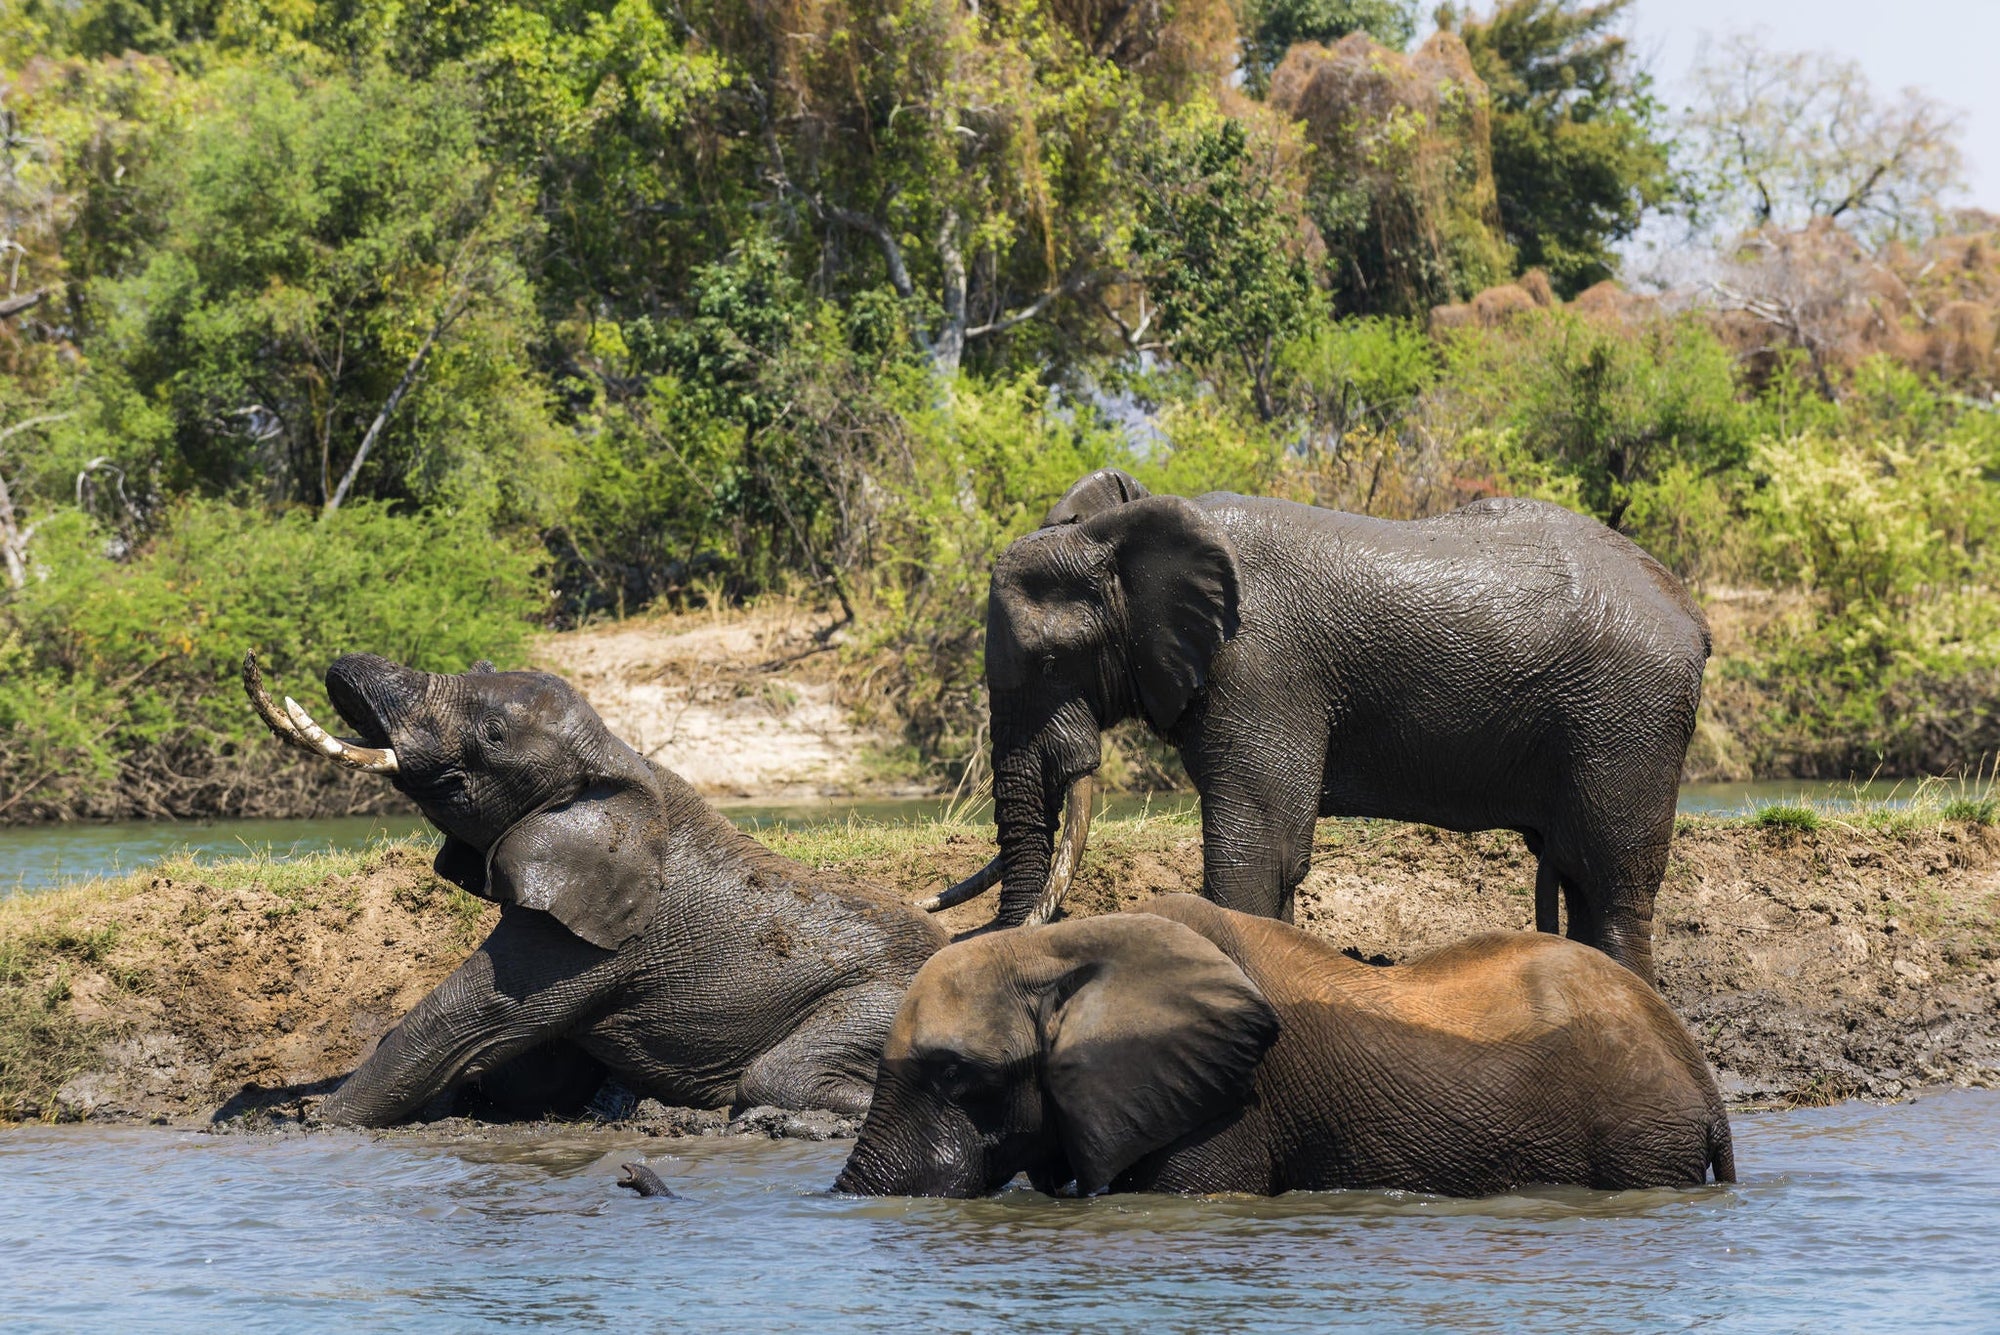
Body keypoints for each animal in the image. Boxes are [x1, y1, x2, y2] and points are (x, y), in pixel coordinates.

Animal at [242, 650, 946, 1127]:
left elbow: (461, 1022)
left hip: (881, 1001)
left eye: (493, 736)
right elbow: (530, 1072)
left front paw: (307, 1121)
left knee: (780, 1078)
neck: (618, 756)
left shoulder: (592, 936)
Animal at [927, 469, 1710, 982]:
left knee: (1610, 887)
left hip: (1627, 717)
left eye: (1048, 661)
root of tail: (1691, 613)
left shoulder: (1259, 669)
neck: (1123, 532)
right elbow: (1273, 864)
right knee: (1579, 880)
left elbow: (1256, 855)